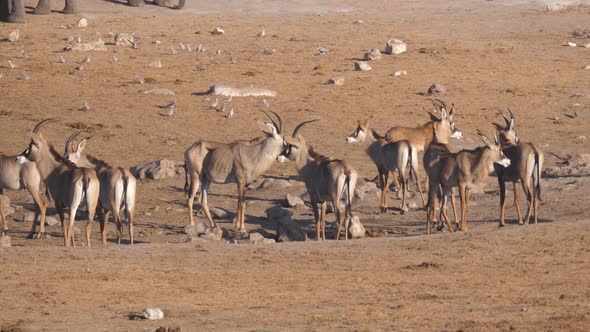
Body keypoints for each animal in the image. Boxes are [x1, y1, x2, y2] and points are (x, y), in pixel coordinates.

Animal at [16, 120, 99, 248]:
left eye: (30, 146)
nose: (17, 158)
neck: (56, 170)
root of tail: (85, 175)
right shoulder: (68, 205)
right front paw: (73, 245)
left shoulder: (58, 203)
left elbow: (64, 226)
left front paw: (67, 244)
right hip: (91, 206)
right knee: (87, 226)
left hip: (74, 205)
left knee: (70, 225)